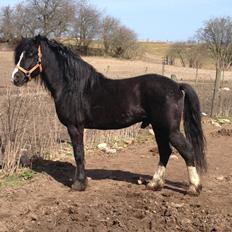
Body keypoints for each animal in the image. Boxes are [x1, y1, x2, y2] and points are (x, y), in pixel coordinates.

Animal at [11, 36, 207, 195]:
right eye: (19, 54)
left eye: (30, 54)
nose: (15, 78)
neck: (73, 87)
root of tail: (176, 86)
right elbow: (80, 154)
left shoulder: (75, 127)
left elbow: (79, 154)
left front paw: (79, 184)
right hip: (159, 128)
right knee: (165, 151)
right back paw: (154, 184)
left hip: (170, 129)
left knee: (187, 151)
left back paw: (193, 187)